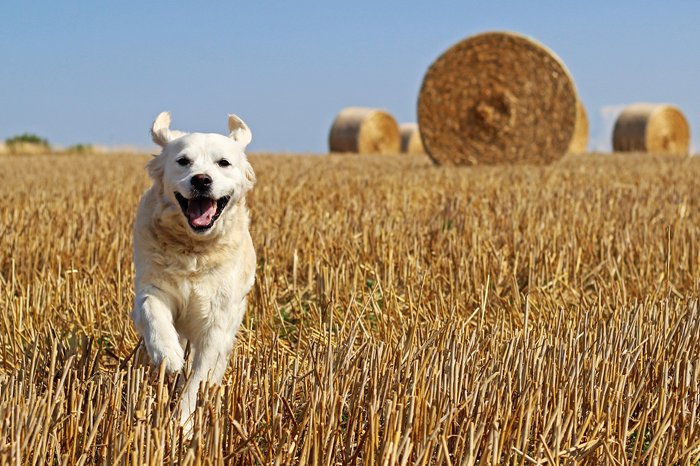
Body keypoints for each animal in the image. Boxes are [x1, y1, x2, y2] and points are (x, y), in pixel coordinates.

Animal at [132, 111, 258, 424]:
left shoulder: (217, 323)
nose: (201, 180)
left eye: (223, 162)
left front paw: (183, 423)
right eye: (183, 161)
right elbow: (153, 311)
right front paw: (167, 354)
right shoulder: (153, 287)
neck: (194, 251)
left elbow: (199, 380)